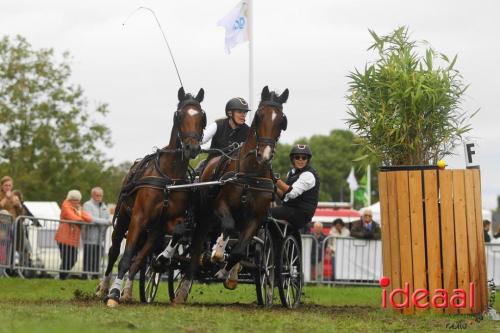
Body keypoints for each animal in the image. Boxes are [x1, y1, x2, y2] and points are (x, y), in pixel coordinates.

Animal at [95, 87, 207, 304]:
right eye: (180, 115)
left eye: (201, 116)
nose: (192, 147)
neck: (169, 177)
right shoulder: (138, 218)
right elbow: (126, 256)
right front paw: (113, 294)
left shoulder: (167, 222)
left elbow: (178, 231)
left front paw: (163, 258)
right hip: (123, 219)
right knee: (114, 252)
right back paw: (104, 288)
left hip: (153, 232)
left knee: (140, 259)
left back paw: (128, 291)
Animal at [175, 85, 290, 300]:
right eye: (260, 116)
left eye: (281, 120)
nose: (264, 155)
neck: (250, 174)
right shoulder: (221, 207)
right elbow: (227, 227)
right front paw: (216, 254)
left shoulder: (256, 218)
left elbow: (239, 251)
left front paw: (226, 272)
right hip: (204, 216)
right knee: (196, 246)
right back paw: (185, 286)